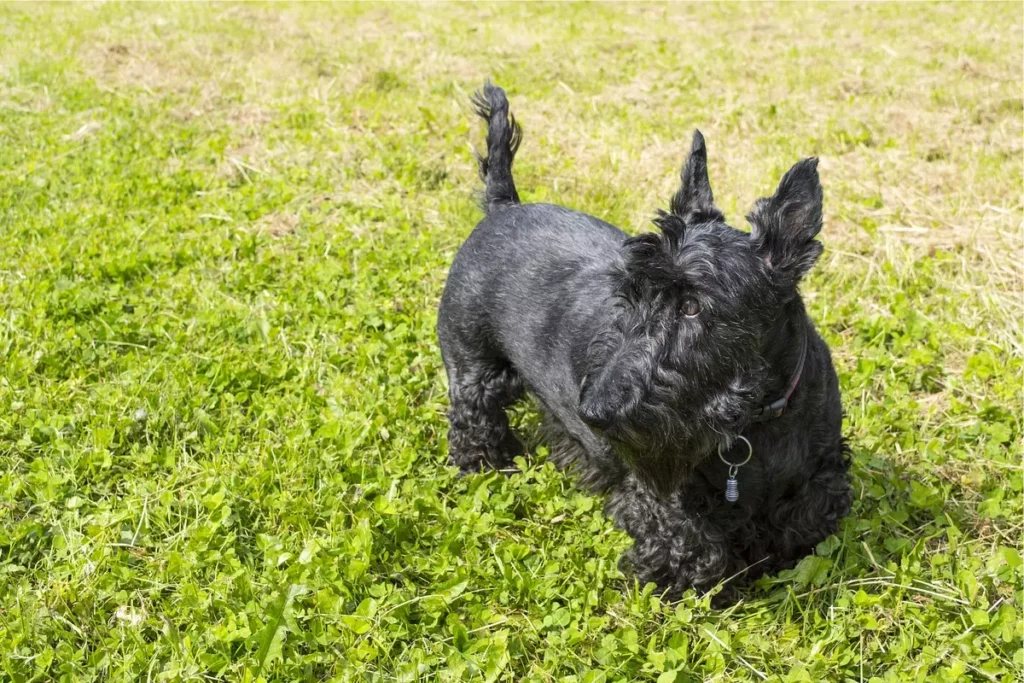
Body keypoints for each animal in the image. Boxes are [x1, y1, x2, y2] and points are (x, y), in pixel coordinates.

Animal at [436, 82, 851, 602]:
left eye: (692, 306)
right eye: (630, 293)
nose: (594, 413)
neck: (758, 419)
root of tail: (503, 205)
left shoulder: (820, 474)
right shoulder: (660, 493)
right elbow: (693, 545)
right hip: (472, 365)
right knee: (473, 419)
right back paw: (488, 467)